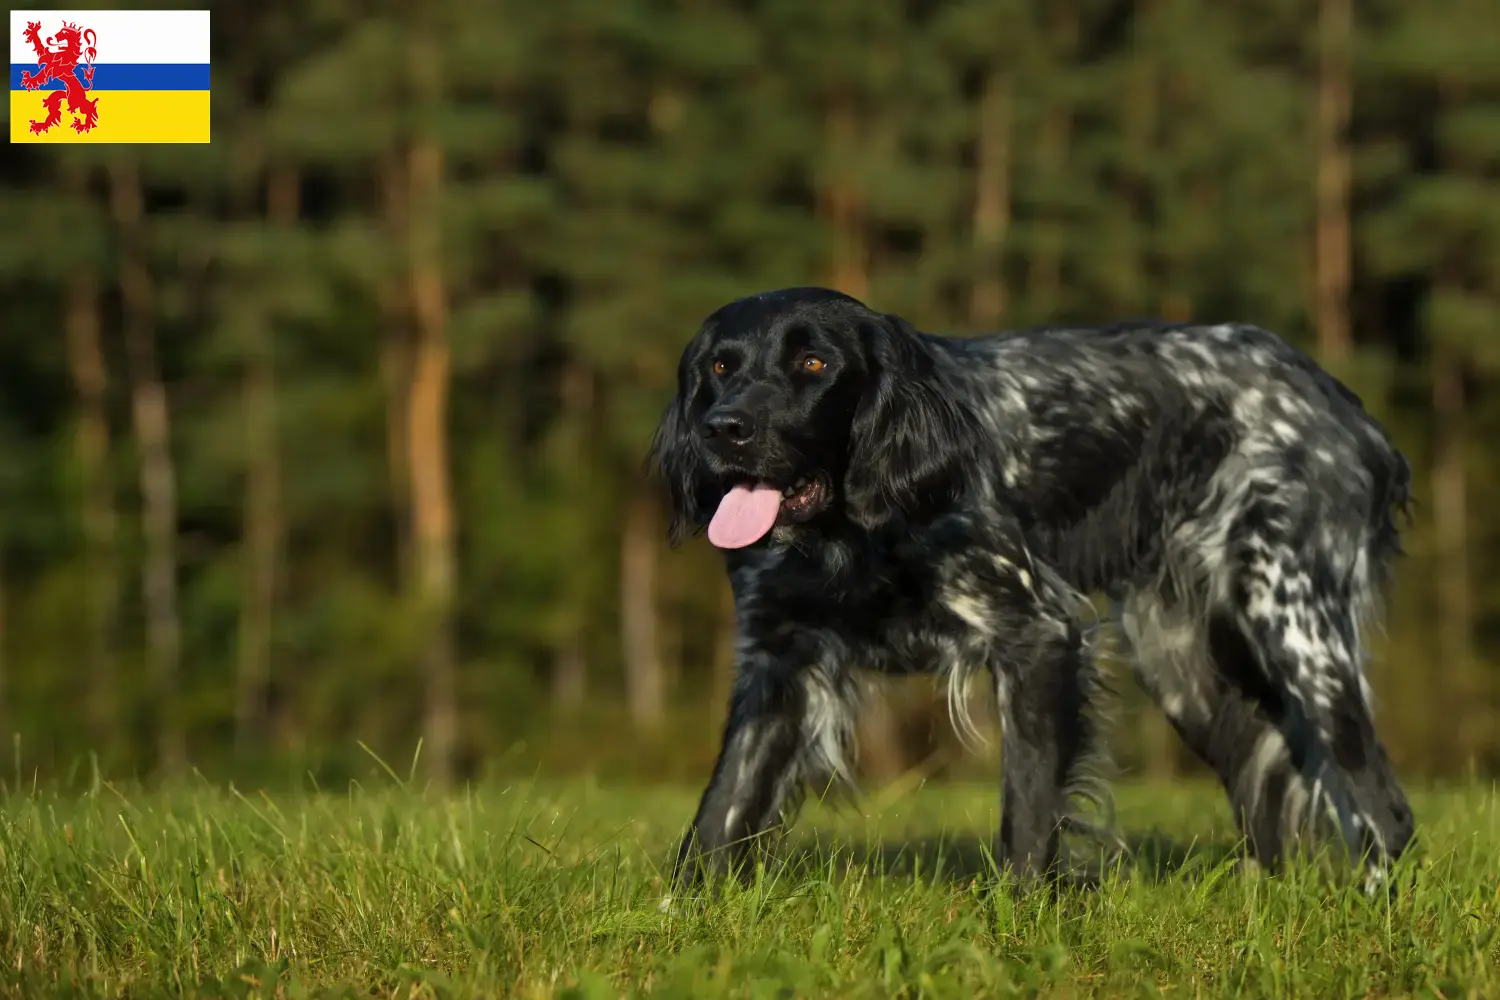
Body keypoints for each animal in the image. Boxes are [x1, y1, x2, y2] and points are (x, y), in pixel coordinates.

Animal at [648, 284, 1416, 893]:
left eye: (814, 363)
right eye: (720, 367)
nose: (724, 428)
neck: (854, 533)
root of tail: (1347, 409)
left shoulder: (1039, 635)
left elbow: (1029, 809)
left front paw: (1019, 923)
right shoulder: (778, 666)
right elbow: (719, 817)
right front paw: (683, 917)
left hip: (1298, 633)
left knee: (1383, 805)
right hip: (1187, 668)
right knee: (1268, 790)